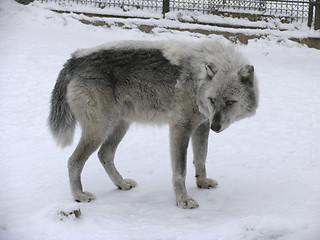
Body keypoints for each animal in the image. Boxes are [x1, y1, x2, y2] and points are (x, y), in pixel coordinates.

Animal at [49, 39, 260, 208]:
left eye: (230, 102)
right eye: (212, 100)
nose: (215, 127)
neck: (198, 78)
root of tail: (74, 59)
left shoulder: (202, 126)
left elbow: (201, 158)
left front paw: (203, 183)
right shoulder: (180, 127)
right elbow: (180, 170)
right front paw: (183, 201)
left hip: (119, 126)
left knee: (104, 155)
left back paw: (122, 184)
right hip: (100, 129)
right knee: (74, 161)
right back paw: (79, 196)